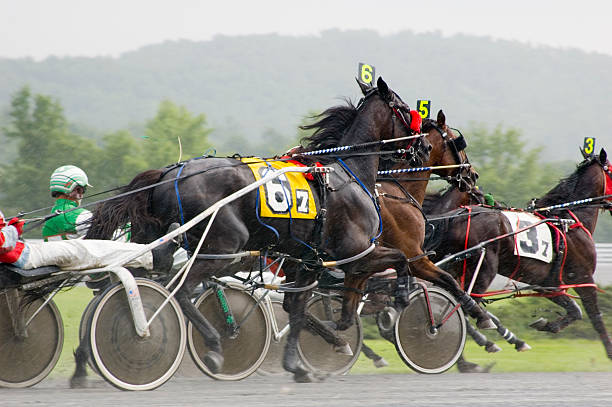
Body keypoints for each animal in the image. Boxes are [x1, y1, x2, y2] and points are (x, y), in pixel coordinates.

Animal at [79, 77, 428, 386]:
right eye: (405, 108)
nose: (423, 145)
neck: (347, 173)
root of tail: (169, 173)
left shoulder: (309, 262)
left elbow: (297, 311)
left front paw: (302, 363)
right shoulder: (355, 253)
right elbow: (401, 259)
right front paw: (400, 298)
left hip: (161, 238)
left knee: (147, 275)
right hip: (224, 247)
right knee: (179, 288)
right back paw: (211, 344)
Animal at [424, 149, 612, 360]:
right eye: (611, 170)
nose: (496, 203)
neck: (568, 220)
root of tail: (457, 218)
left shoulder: (548, 283)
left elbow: (574, 310)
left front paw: (546, 324)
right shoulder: (583, 278)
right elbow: (595, 317)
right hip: (484, 269)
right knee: (465, 307)